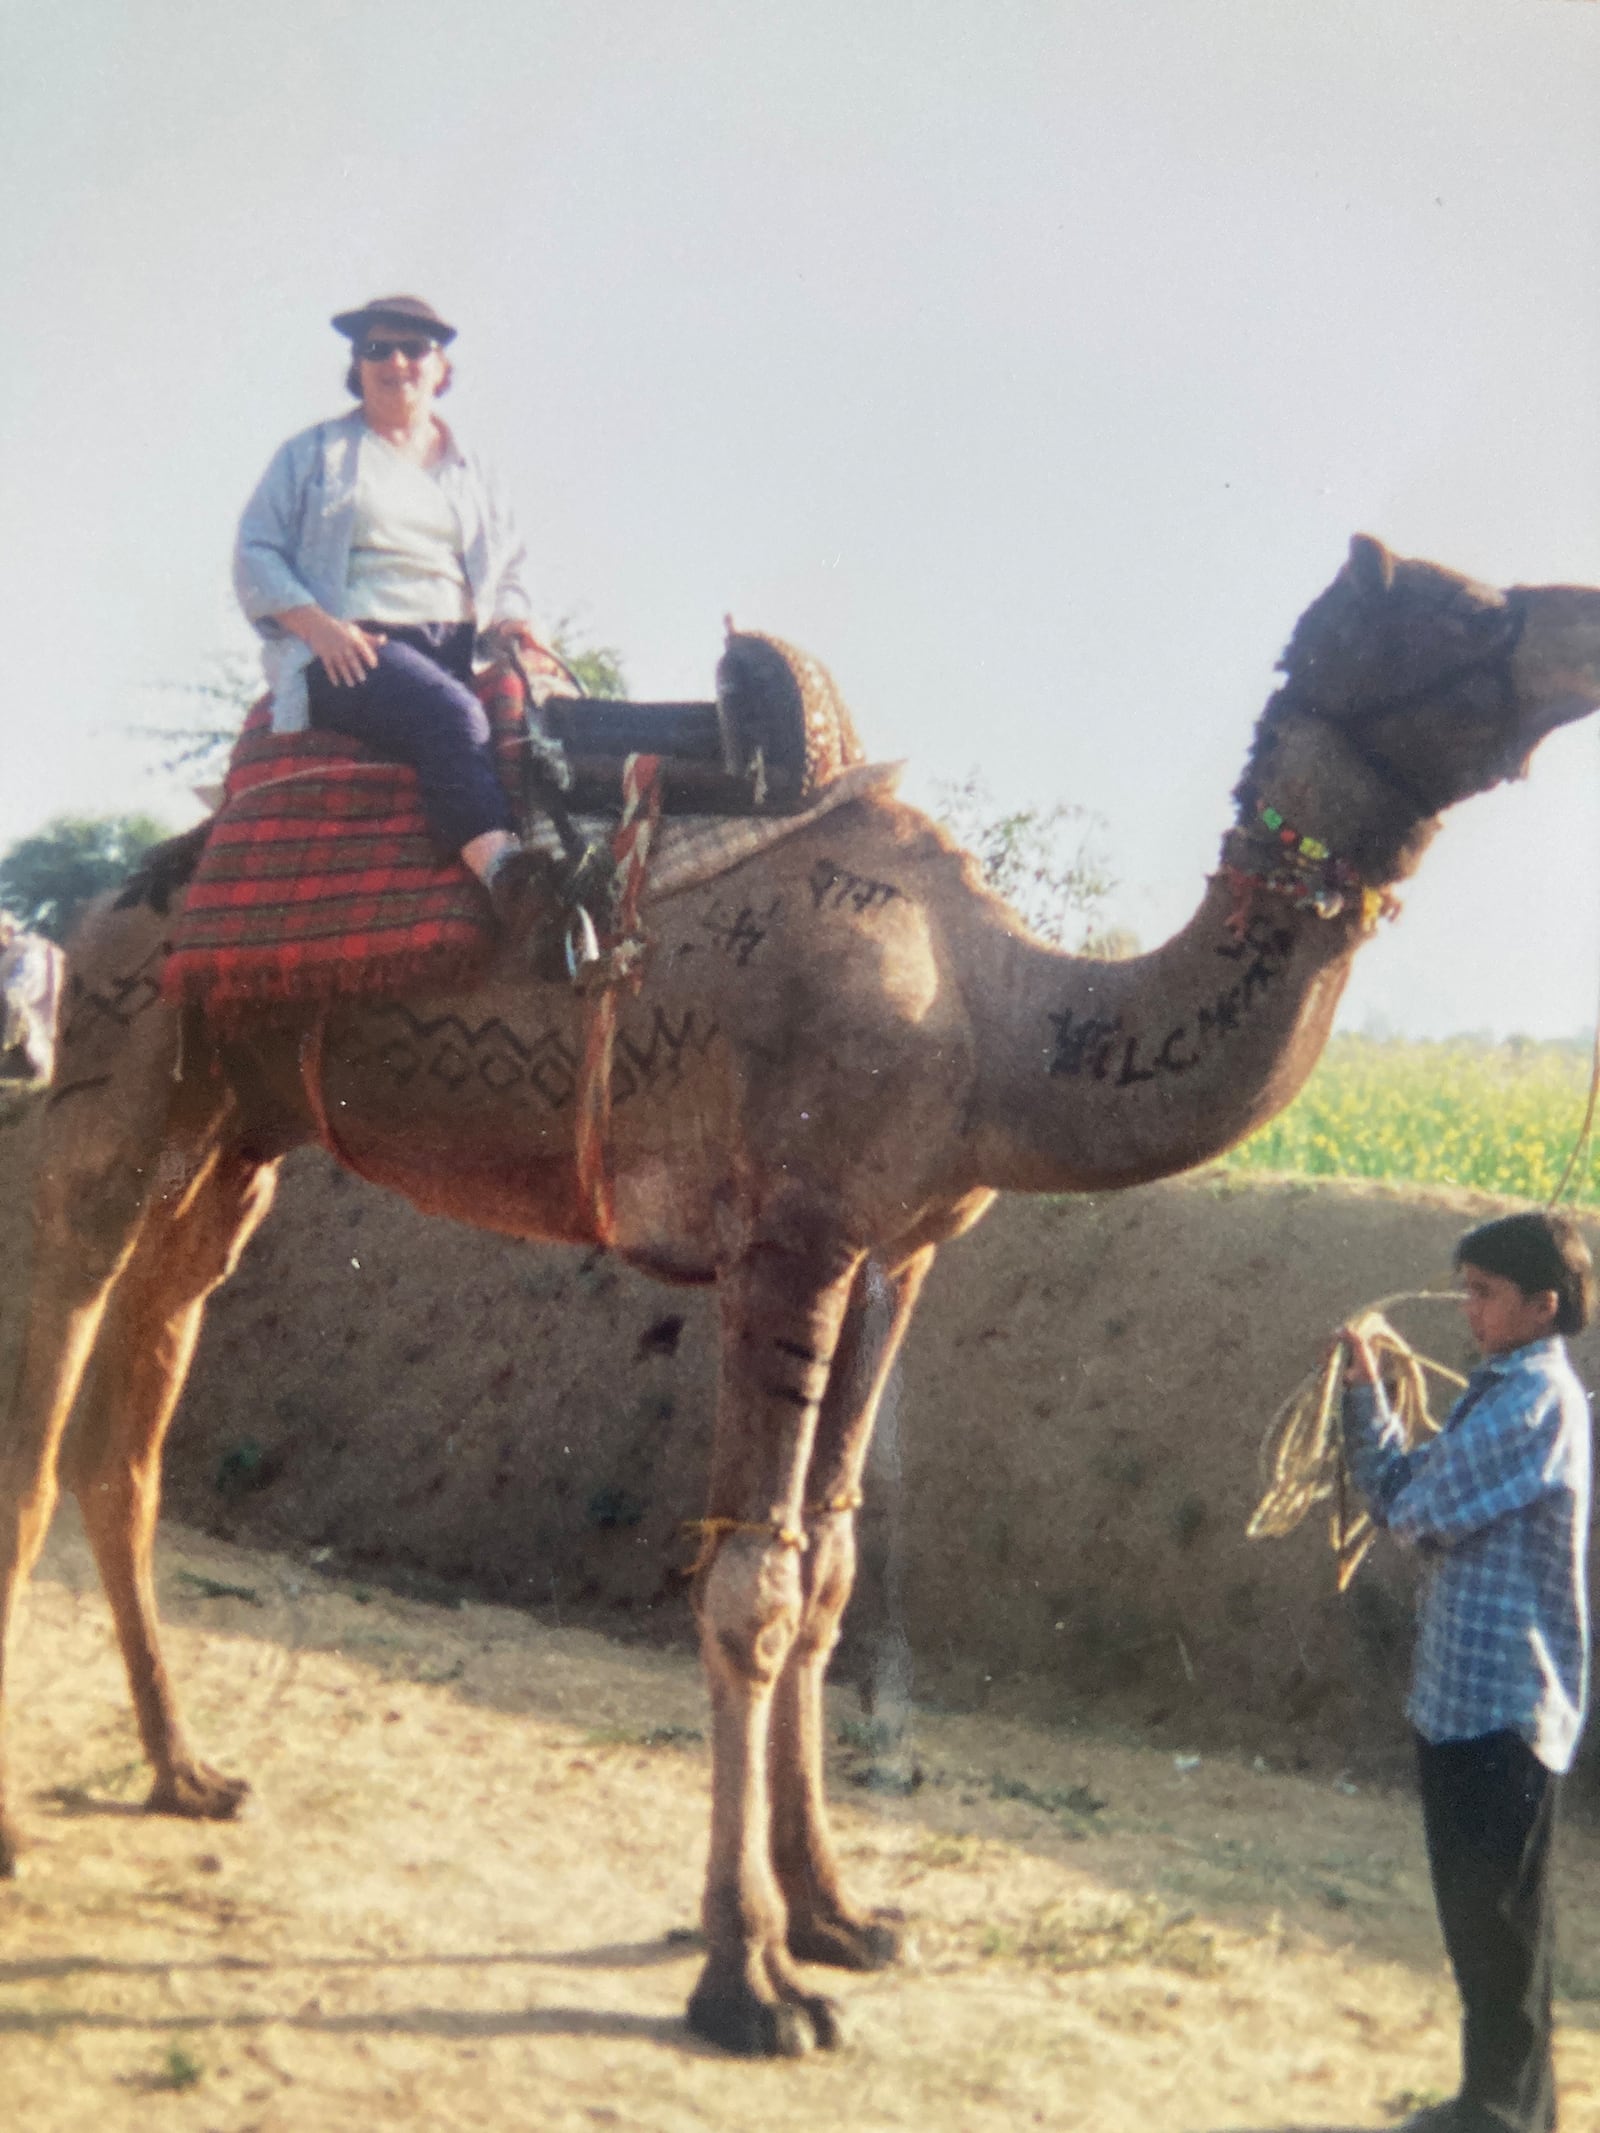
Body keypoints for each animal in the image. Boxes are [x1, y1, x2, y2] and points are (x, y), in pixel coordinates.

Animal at [4, 535, 1600, 2058]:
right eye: (1459, 613)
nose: (1580, 617)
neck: (1001, 1019)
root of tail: (106, 904)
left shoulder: (896, 1251)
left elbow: (825, 1571)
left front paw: (838, 1915)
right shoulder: (791, 1238)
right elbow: (749, 1591)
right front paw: (750, 1982)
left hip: (239, 1138)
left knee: (128, 1444)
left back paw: (185, 1771)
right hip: (115, 1085)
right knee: (44, 1416)